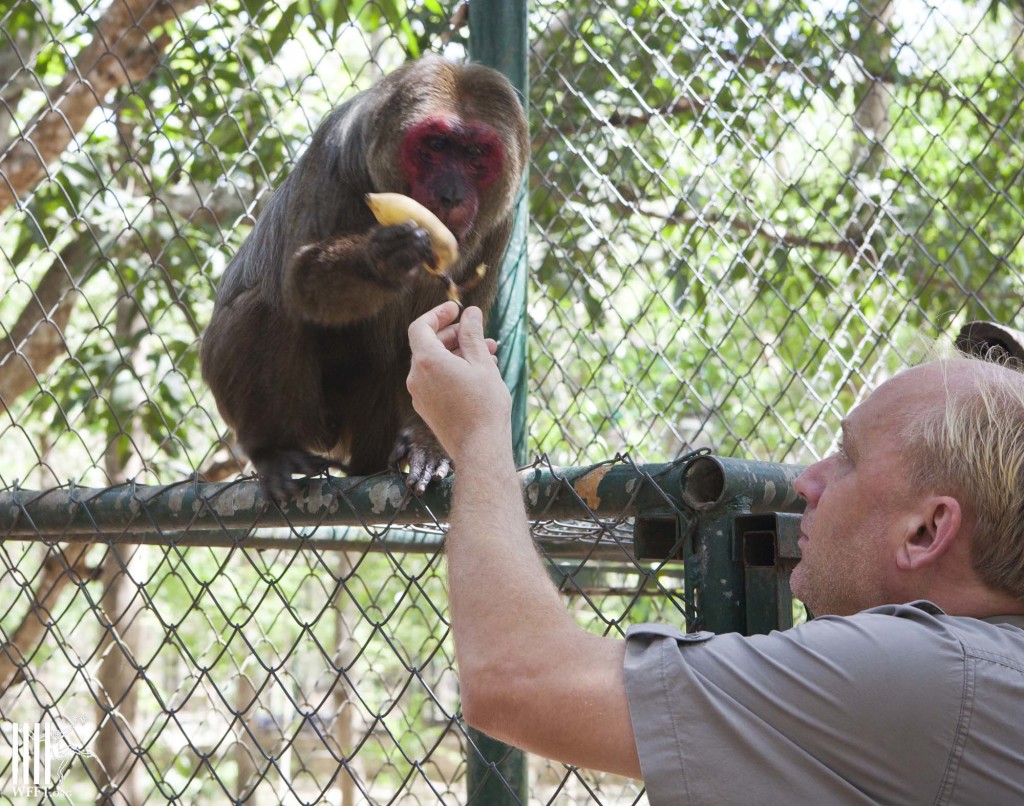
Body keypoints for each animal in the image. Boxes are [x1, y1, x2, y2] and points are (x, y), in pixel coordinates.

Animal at [203, 53, 532, 501]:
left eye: (475, 153)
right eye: (436, 146)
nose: (450, 194)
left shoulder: (501, 223)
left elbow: (446, 338)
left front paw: (430, 441)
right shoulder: (334, 155)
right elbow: (299, 284)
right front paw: (382, 260)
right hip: (313, 420)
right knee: (266, 306)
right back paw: (273, 449)